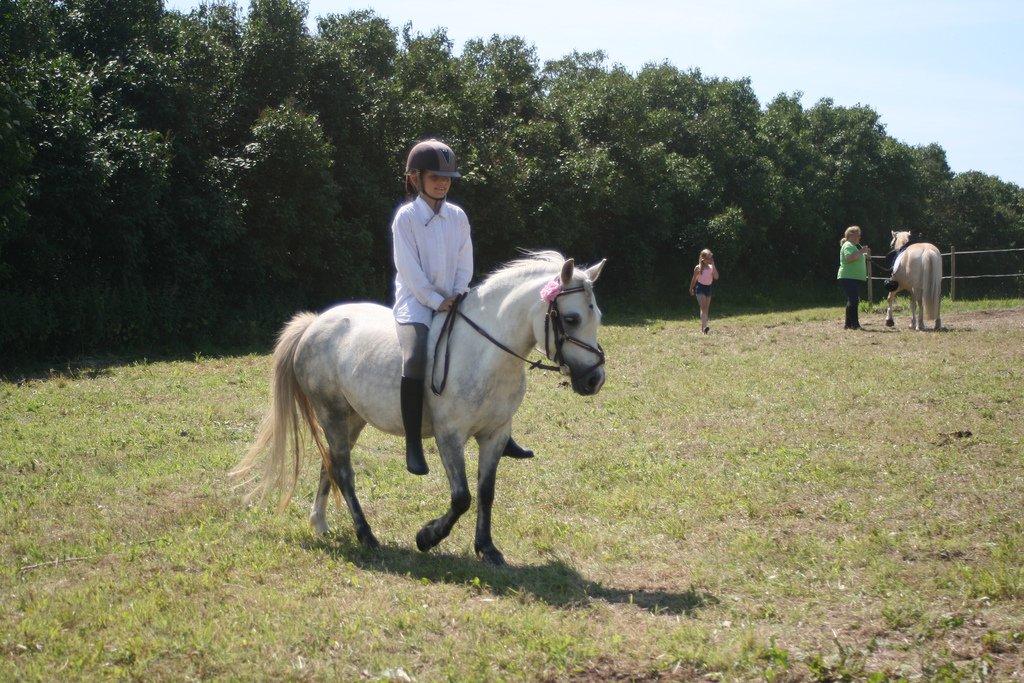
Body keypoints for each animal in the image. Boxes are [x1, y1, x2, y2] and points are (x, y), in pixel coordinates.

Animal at [232, 250, 602, 565]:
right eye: (571, 319)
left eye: (596, 316)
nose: (594, 379)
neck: (484, 354)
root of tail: (314, 324)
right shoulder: (449, 436)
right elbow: (462, 497)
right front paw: (427, 537)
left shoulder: (495, 435)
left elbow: (486, 493)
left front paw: (486, 548)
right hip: (332, 414)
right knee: (343, 471)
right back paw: (366, 536)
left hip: (353, 419)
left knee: (331, 464)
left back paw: (320, 523)